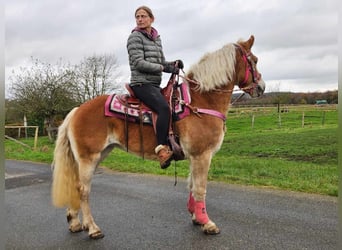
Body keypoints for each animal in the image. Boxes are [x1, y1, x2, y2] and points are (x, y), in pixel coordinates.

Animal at [50, 34, 266, 238]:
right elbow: (200, 188)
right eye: (254, 60)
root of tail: (76, 111)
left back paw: (75, 222)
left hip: (97, 155)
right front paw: (207, 223)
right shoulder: (202, 155)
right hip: (89, 158)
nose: (262, 87)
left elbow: (191, 185)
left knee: (76, 185)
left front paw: (196, 216)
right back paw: (93, 228)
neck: (201, 100)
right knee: (83, 190)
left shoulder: (194, 156)